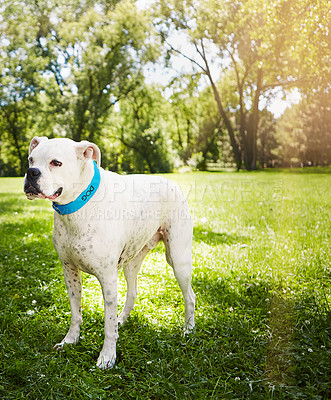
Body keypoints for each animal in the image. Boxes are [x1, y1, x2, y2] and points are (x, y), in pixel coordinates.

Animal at [24, 137, 196, 368]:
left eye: (56, 163)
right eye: (31, 159)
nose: (31, 172)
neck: (77, 208)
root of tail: (171, 182)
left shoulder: (107, 279)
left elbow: (108, 325)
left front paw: (107, 356)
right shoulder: (70, 272)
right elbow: (75, 313)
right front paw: (70, 340)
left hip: (178, 259)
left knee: (190, 296)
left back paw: (188, 329)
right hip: (132, 261)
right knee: (132, 292)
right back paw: (123, 319)